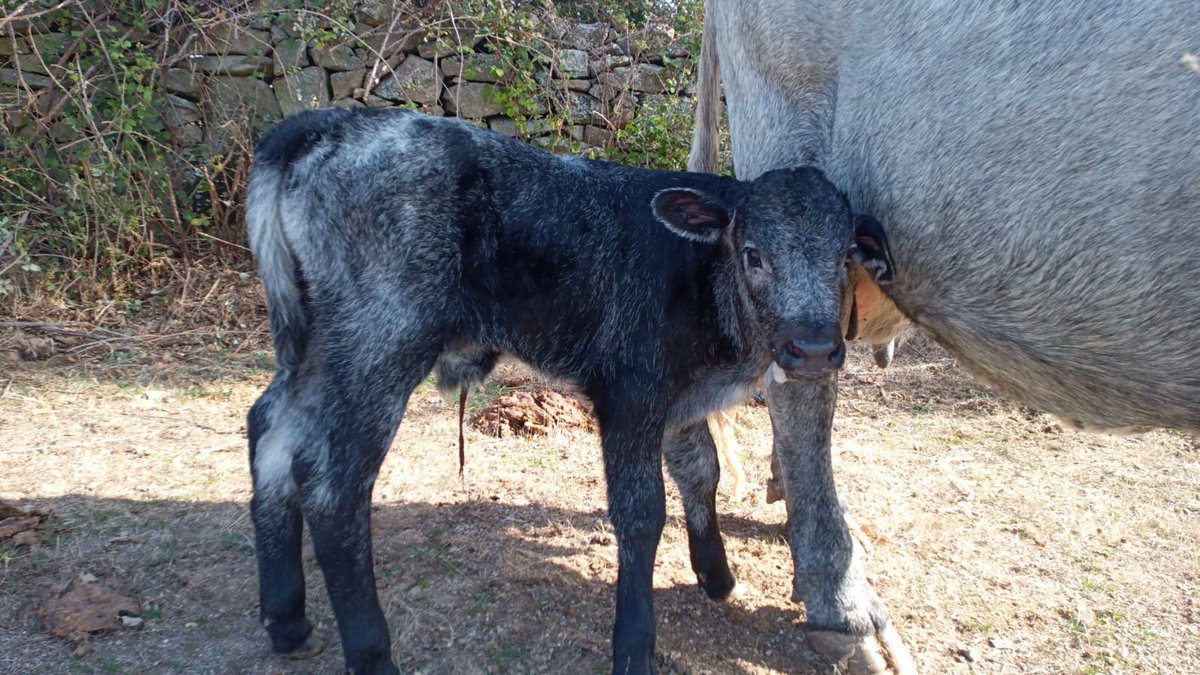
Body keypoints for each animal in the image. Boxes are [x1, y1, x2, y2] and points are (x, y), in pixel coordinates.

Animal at [244, 107, 894, 674]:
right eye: (754, 254)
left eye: (844, 257)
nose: (814, 350)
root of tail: (329, 121)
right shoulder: (630, 394)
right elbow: (641, 512)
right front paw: (633, 645)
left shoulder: (681, 401)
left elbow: (700, 471)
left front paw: (715, 575)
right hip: (379, 345)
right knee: (331, 485)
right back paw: (371, 654)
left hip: (317, 347)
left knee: (269, 429)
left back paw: (287, 620)